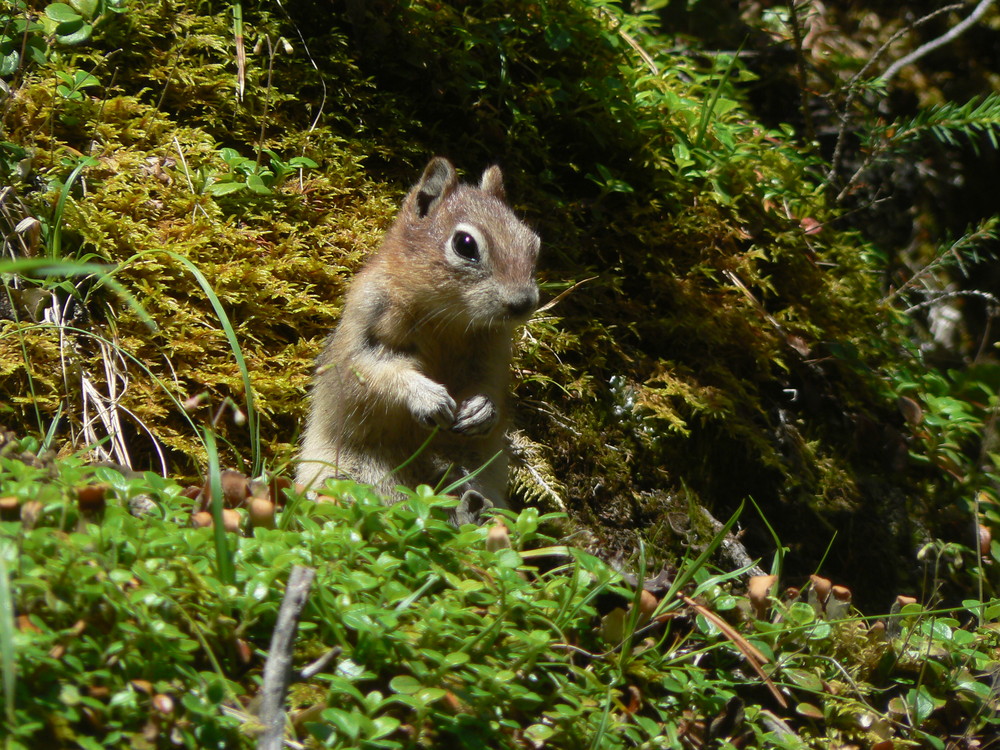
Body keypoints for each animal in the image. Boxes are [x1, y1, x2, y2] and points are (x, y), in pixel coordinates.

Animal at [296, 156, 540, 516]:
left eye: (533, 242)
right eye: (465, 245)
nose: (524, 303)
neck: (447, 317)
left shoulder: (493, 352)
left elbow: (490, 385)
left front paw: (482, 410)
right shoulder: (364, 329)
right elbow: (373, 372)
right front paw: (427, 397)